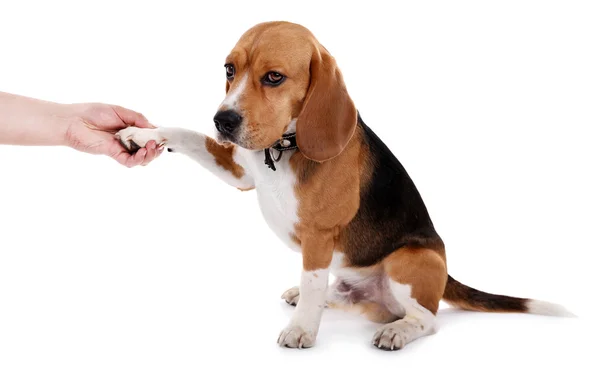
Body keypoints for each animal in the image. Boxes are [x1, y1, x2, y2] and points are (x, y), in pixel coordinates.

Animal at [113, 20, 572, 350]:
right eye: (229, 70)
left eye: (274, 77)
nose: (223, 120)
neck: (283, 148)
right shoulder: (240, 173)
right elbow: (185, 135)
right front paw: (141, 134)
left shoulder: (319, 235)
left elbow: (314, 281)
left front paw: (301, 331)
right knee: (343, 296)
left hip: (409, 261)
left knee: (427, 318)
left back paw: (396, 331)